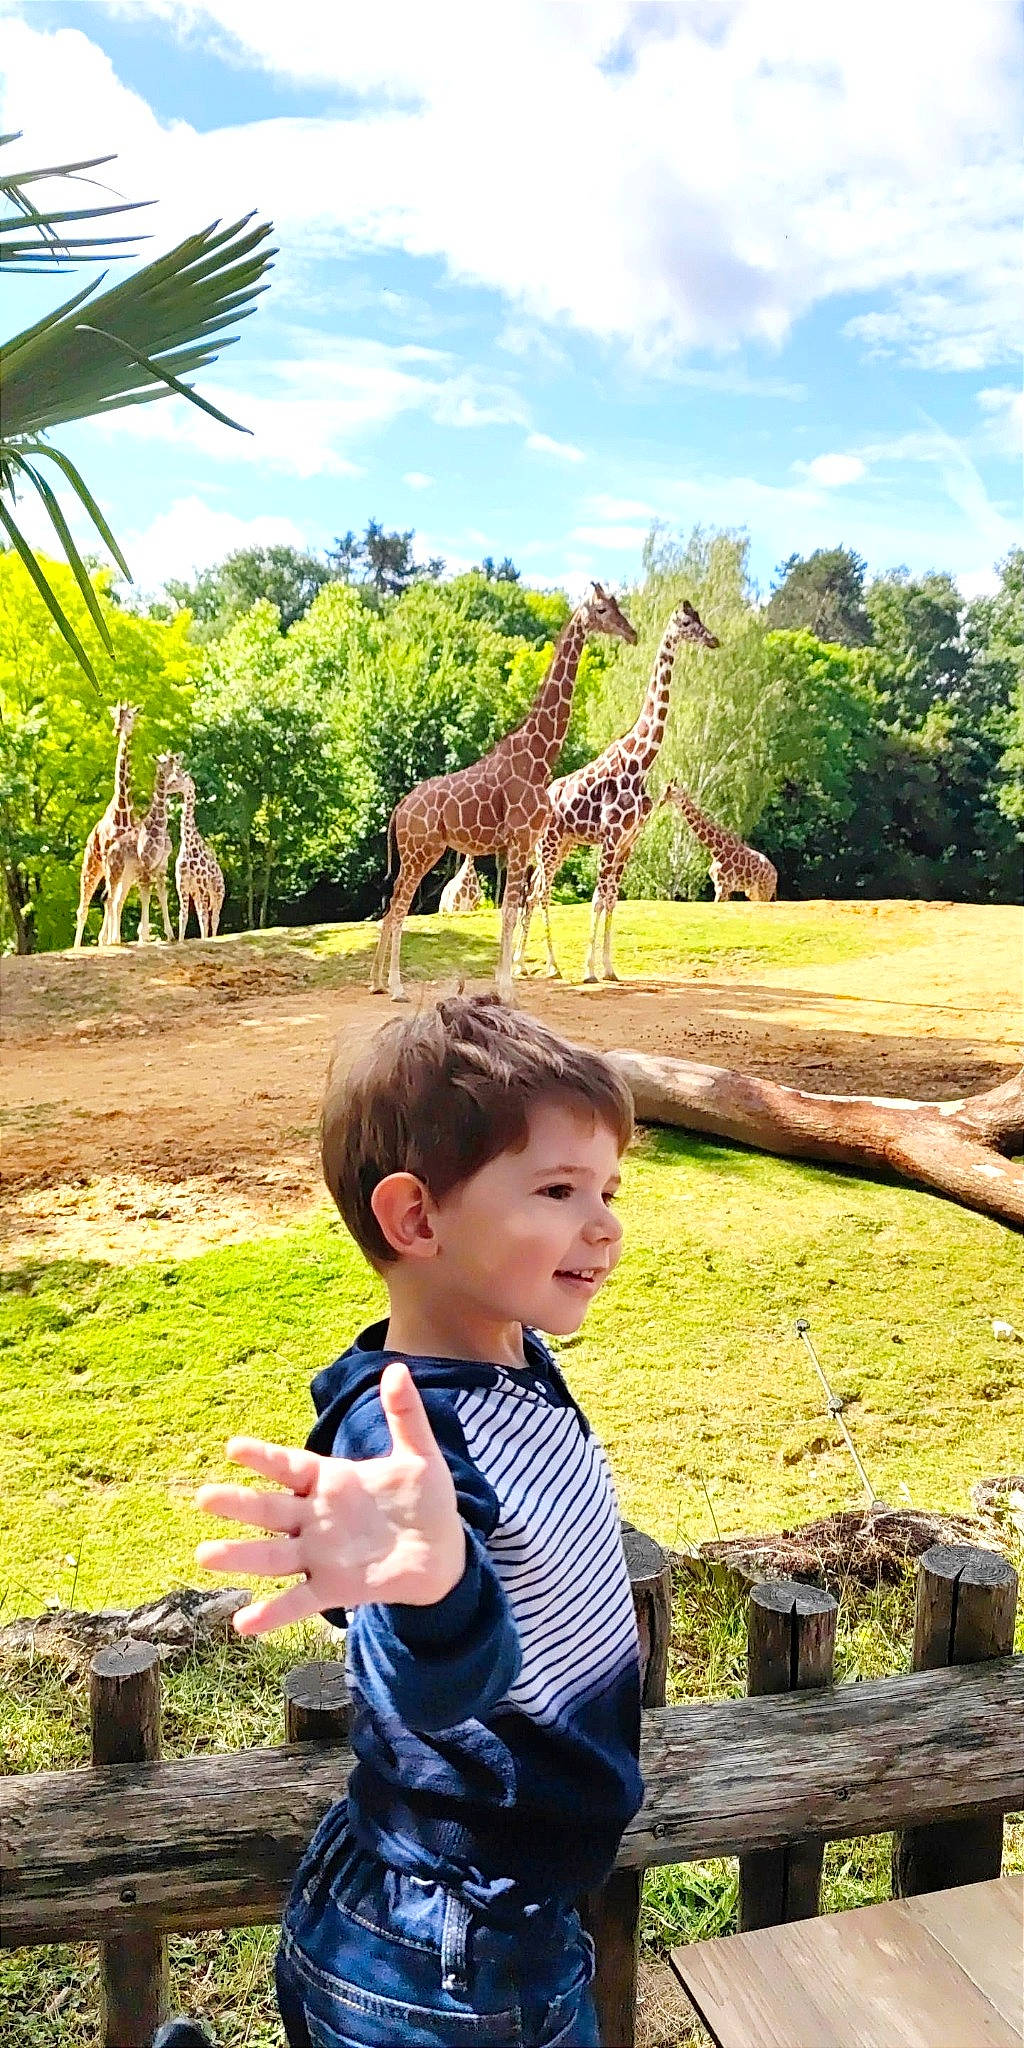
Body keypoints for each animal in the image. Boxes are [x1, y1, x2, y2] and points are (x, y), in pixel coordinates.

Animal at [73, 700, 140, 948]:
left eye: (129, 716)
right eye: (115, 716)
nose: (118, 730)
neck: (123, 812)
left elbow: (115, 899)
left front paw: (112, 938)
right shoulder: (110, 859)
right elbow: (110, 899)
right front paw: (112, 938)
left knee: (109, 898)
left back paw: (105, 939)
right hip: (91, 866)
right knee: (83, 908)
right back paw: (79, 946)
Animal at [103, 750, 183, 944]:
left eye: (175, 764)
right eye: (164, 763)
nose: (172, 778)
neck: (159, 826)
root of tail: (109, 853)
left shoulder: (161, 867)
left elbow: (162, 895)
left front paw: (170, 935)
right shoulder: (146, 866)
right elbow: (146, 897)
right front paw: (145, 936)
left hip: (127, 875)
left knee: (118, 901)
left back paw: (116, 939)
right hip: (114, 872)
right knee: (110, 900)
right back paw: (111, 940)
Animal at [166, 765, 225, 939]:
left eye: (174, 780)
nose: (165, 788)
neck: (188, 844)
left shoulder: (201, 884)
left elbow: (205, 918)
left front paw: (205, 940)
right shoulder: (182, 884)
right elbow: (183, 915)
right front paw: (180, 941)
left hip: (217, 893)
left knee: (214, 917)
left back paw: (213, 937)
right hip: (197, 894)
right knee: (203, 915)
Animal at [371, 582, 636, 1001]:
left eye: (616, 606)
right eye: (601, 610)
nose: (632, 633)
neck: (540, 756)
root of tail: (399, 808)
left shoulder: (520, 845)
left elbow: (510, 909)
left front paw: (505, 981)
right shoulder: (520, 839)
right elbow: (511, 909)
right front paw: (507, 988)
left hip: (417, 854)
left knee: (391, 906)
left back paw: (378, 982)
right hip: (420, 852)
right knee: (398, 908)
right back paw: (396, 987)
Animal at [516, 599, 719, 984]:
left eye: (700, 618)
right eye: (687, 623)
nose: (713, 640)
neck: (641, 761)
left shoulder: (628, 842)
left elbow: (612, 899)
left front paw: (610, 968)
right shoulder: (611, 838)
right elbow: (598, 899)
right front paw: (589, 971)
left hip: (562, 846)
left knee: (532, 893)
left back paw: (528, 963)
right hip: (548, 845)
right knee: (539, 893)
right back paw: (544, 965)